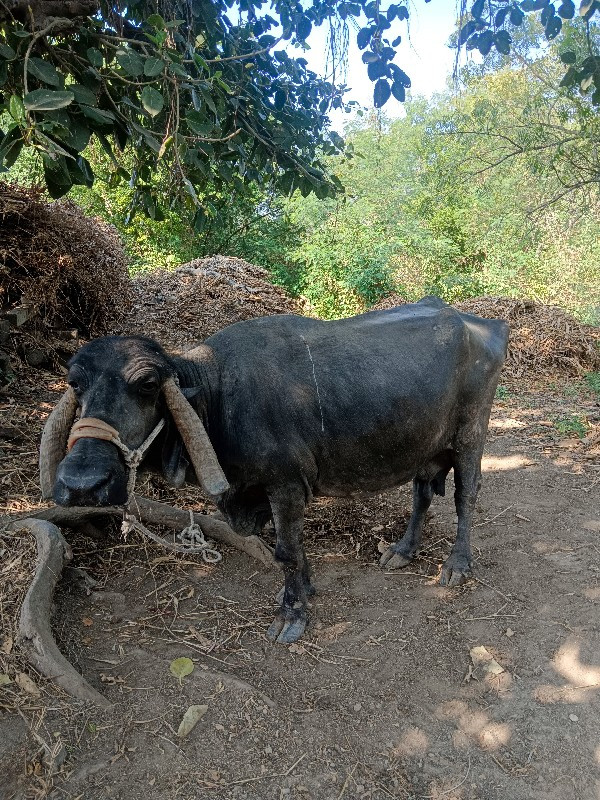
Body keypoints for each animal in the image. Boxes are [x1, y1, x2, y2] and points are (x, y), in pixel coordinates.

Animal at [41, 298, 510, 644]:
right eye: (75, 383)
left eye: (148, 384)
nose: (82, 484)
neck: (218, 396)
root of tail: (482, 325)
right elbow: (296, 551)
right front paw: (305, 588)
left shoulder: (286, 486)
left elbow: (285, 551)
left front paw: (292, 614)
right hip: (423, 447)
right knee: (423, 493)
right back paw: (403, 550)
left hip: (471, 433)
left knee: (466, 495)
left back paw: (458, 563)